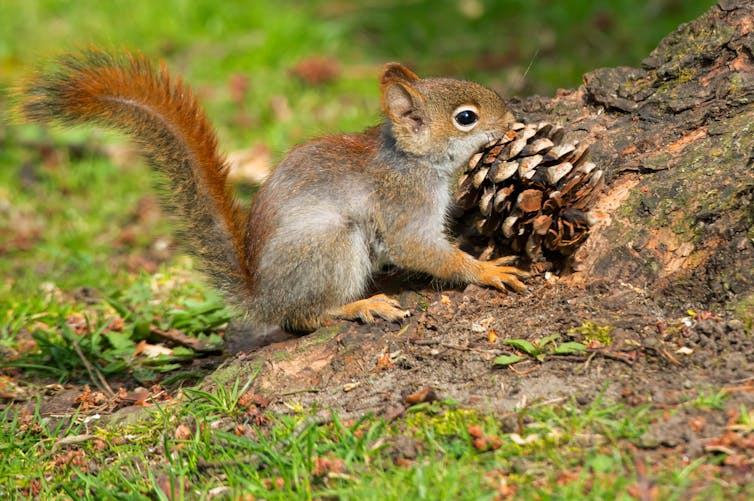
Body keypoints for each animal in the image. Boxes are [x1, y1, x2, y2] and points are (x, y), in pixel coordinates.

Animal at [20, 50, 528, 338]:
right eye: (466, 118)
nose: (511, 121)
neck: (412, 159)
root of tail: (262, 298)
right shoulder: (403, 204)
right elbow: (420, 249)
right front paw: (486, 271)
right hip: (330, 246)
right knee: (303, 318)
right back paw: (359, 305)